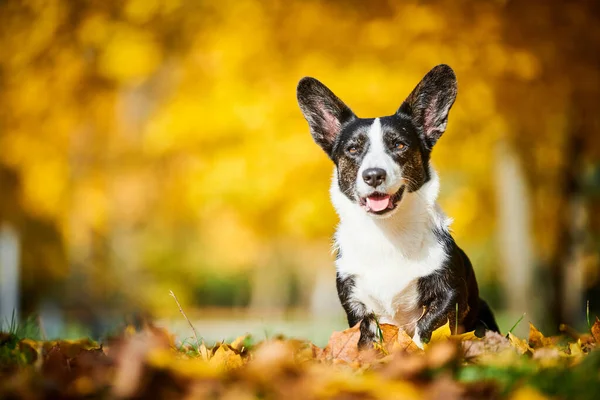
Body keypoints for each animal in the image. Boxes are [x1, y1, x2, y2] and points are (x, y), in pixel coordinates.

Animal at [296, 64, 496, 348]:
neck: (388, 232)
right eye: (353, 149)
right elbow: (365, 337)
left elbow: (426, 327)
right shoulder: (356, 304)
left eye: (399, 145)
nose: (373, 175)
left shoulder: (450, 294)